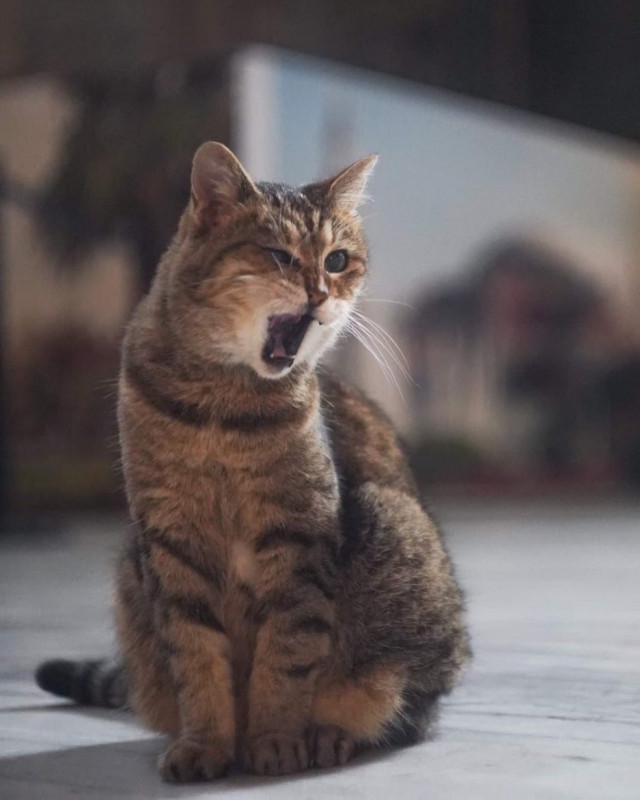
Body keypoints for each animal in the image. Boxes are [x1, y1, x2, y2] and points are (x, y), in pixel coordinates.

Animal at [37, 142, 472, 780]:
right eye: (279, 256)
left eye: (337, 260)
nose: (320, 292)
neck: (223, 410)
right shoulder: (172, 541)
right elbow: (196, 658)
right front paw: (205, 745)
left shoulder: (298, 539)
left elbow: (286, 655)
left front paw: (273, 740)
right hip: (130, 567)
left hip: (397, 531)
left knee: (402, 709)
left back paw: (330, 733)